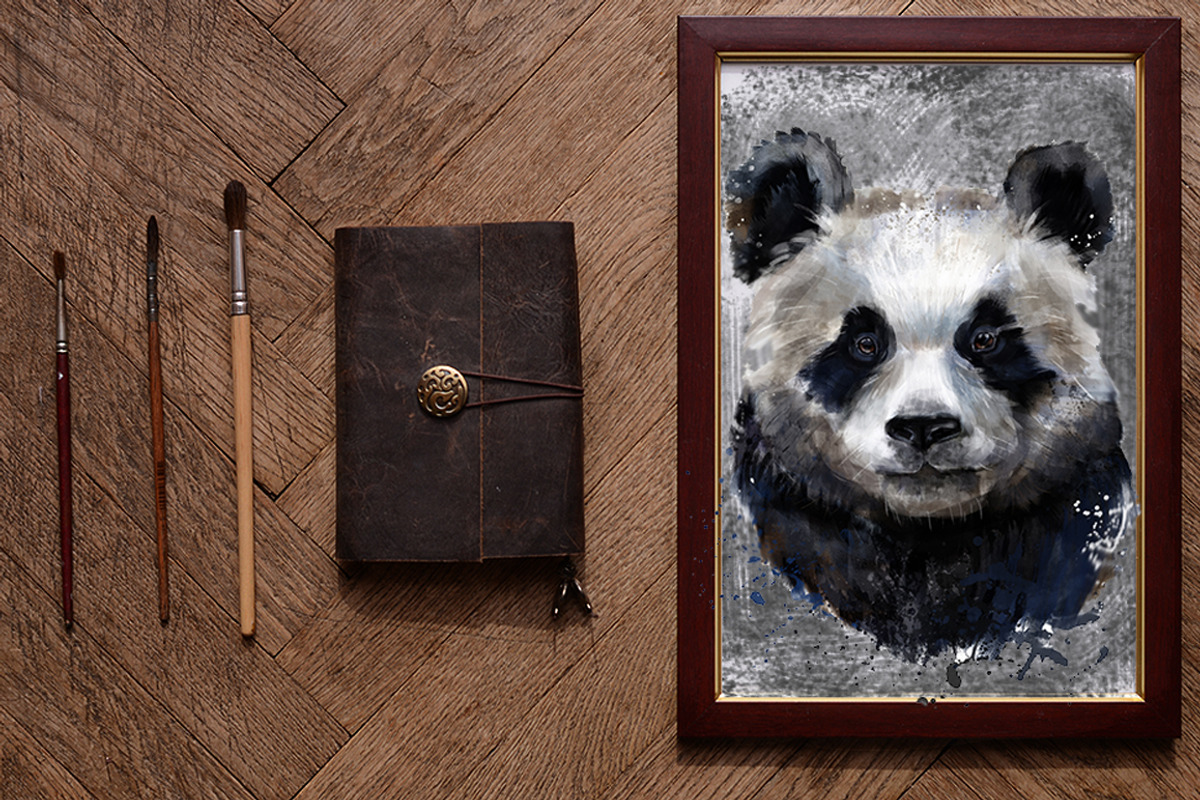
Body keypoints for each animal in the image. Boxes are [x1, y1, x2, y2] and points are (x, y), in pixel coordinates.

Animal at [728, 128, 1135, 662]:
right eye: (864, 343)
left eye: (985, 338)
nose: (923, 427)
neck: (927, 534)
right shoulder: (794, 510)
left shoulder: (1068, 517)